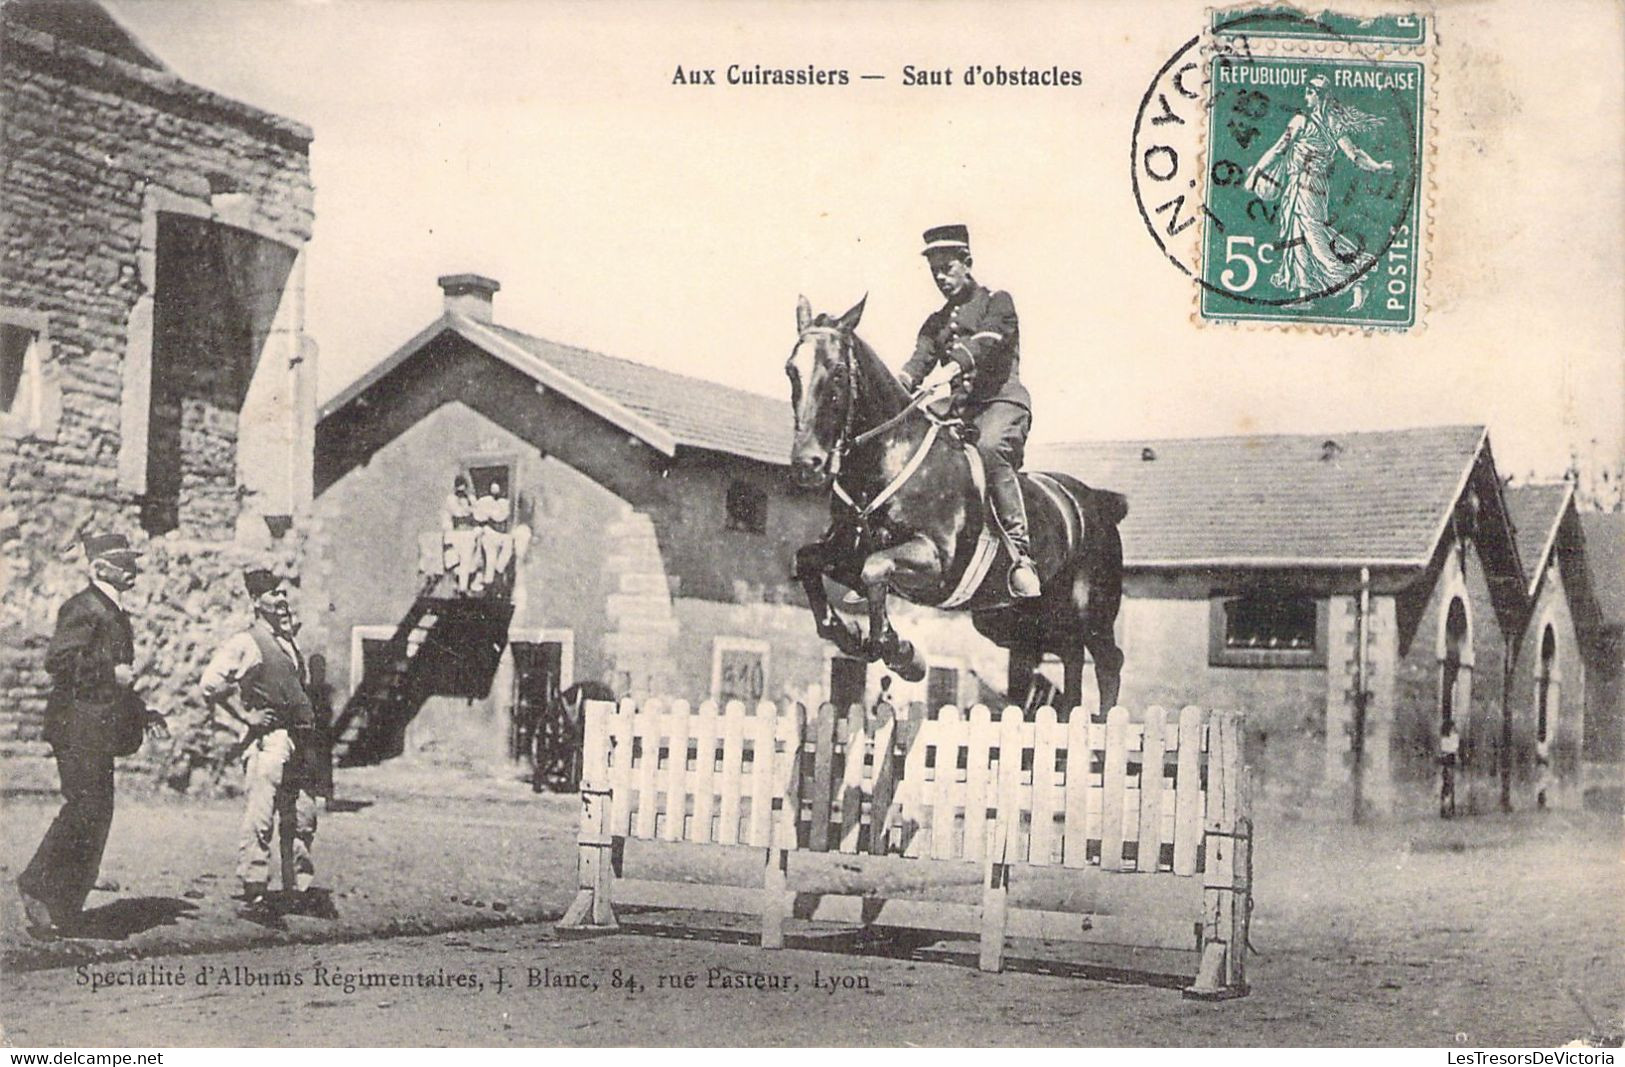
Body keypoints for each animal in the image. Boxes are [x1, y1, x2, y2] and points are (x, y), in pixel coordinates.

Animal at [786, 293, 1131, 714]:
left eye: (837, 373)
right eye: (791, 371)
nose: (808, 464)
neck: (889, 457)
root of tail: (1097, 502)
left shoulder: (935, 560)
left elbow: (876, 569)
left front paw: (899, 652)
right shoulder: (846, 554)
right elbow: (810, 561)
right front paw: (851, 633)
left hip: (1091, 611)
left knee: (1108, 660)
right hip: (1013, 621)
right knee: (1064, 655)